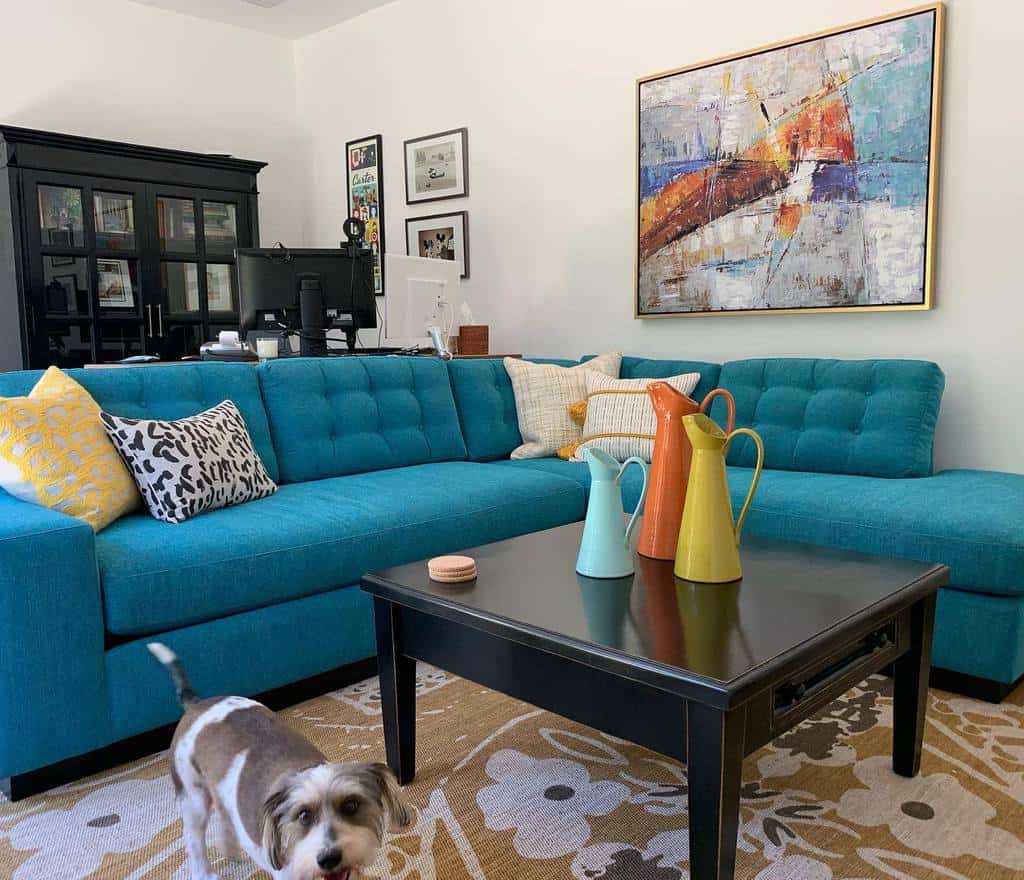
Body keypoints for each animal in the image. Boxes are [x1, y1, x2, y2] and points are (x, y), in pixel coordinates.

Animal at [149, 643, 411, 876]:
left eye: (351, 805)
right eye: (303, 815)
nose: (328, 858)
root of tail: (197, 705)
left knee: (225, 819)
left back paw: (231, 851)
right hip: (193, 798)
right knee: (194, 841)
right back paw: (206, 872)